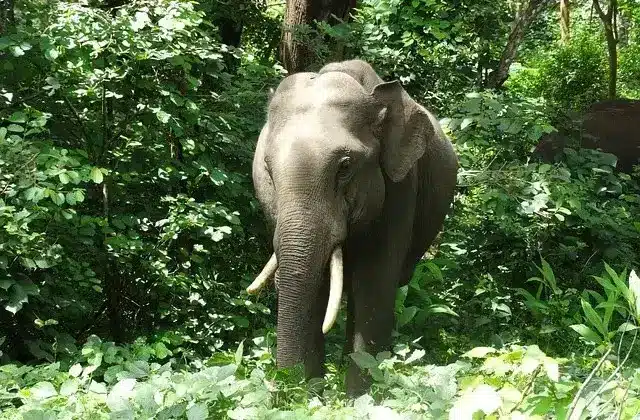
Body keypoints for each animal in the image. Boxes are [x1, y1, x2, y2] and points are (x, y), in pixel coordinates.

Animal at [245, 59, 458, 396]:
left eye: (345, 166)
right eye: (267, 167)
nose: (283, 387)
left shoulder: (400, 189)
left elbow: (374, 285)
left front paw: (358, 398)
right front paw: (311, 395)